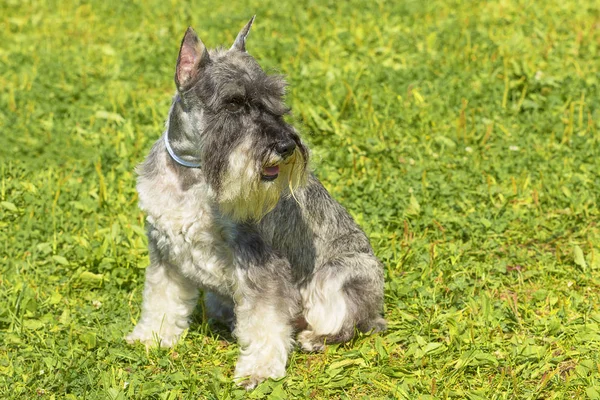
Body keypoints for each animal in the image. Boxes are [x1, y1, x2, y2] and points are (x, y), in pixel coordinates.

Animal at [127, 17, 390, 390]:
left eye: (276, 98)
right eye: (233, 103)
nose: (285, 145)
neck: (194, 176)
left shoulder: (260, 260)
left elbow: (266, 319)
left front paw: (259, 370)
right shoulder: (164, 252)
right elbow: (161, 298)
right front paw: (151, 336)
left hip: (340, 278)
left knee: (349, 323)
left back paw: (314, 338)